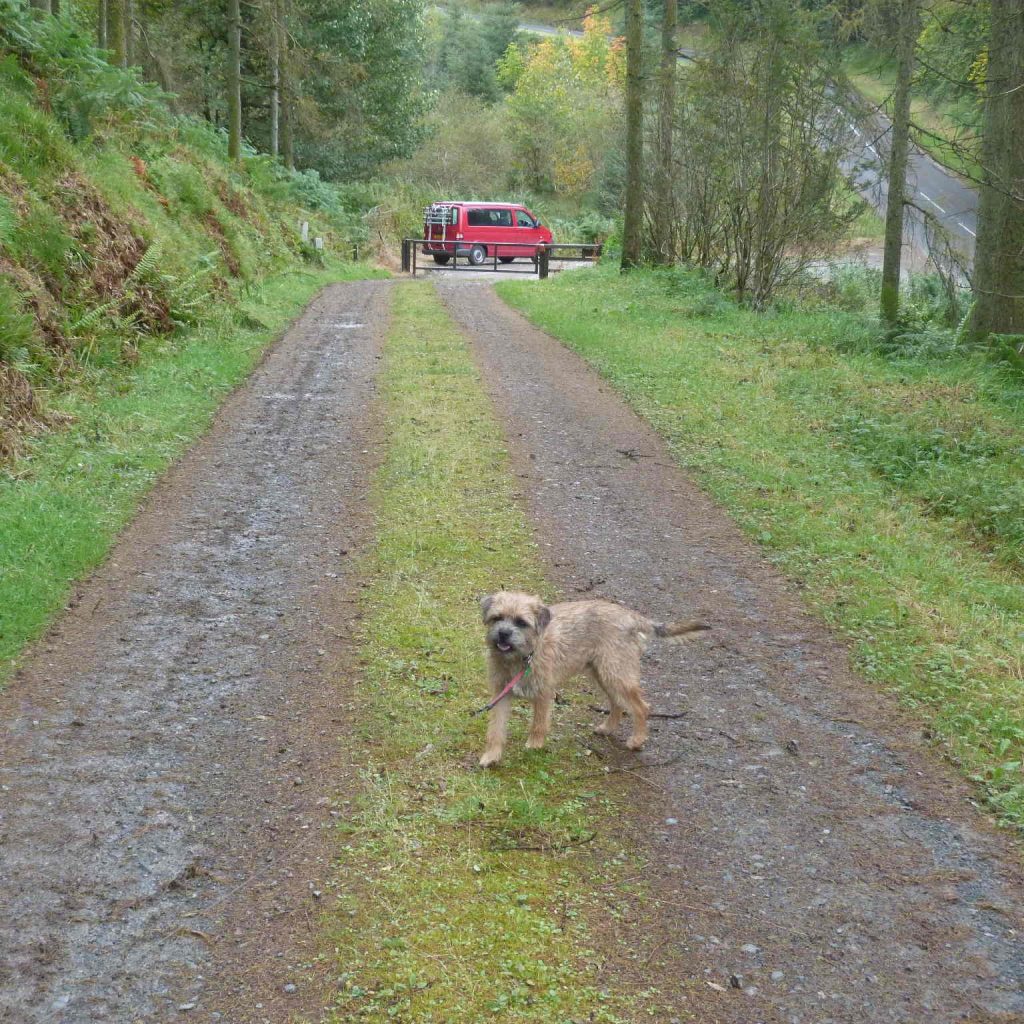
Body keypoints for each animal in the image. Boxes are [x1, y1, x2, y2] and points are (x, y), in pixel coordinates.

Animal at [477, 589, 704, 765]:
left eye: (521, 622)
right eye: (497, 618)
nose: (504, 634)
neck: (522, 657)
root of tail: (631, 616)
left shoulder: (543, 694)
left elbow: (538, 724)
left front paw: (534, 747)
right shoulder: (500, 695)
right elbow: (495, 729)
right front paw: (492, 756)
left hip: (616, 674)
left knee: (641, 707)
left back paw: (637, 740)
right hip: (602, 674)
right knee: (617, 703)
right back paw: (608, 728)